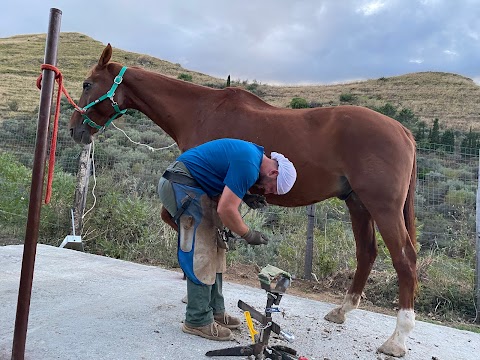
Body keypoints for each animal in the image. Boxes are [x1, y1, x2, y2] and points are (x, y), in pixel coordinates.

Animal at [68, 44, 416, 358]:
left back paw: (397, 339)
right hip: (358, 204)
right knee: (367, 253)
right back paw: (342, 311)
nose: (74, 130)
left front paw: (193, 280)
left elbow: (188, 231)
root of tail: (403, 130)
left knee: (405, 260)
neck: (199, 110)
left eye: (87, 84)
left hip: (382, 207)